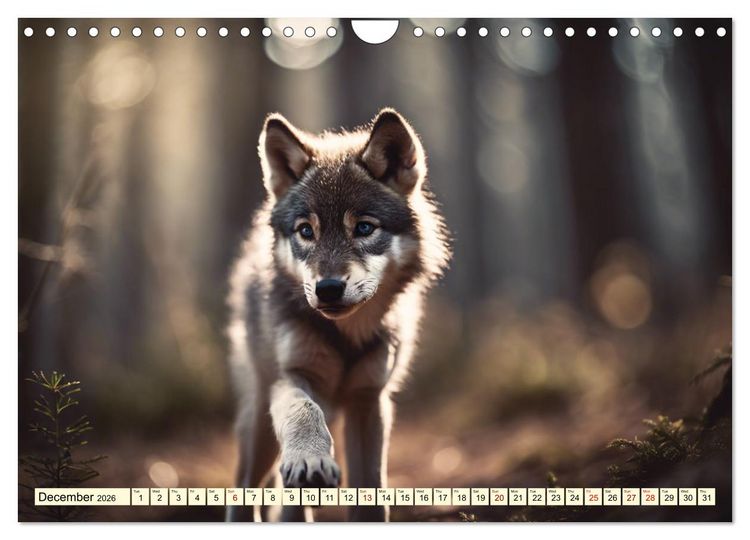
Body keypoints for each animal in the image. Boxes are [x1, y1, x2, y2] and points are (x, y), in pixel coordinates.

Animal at [226, 108, 451, 522]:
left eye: (363, 228)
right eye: (306, 231)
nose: (327, 288)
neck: (347, 334)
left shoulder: (369, 401)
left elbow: (371, 491)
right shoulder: (293, 377)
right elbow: (303, 410)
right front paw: (311, 460)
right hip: (258, 423)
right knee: (245, 486)